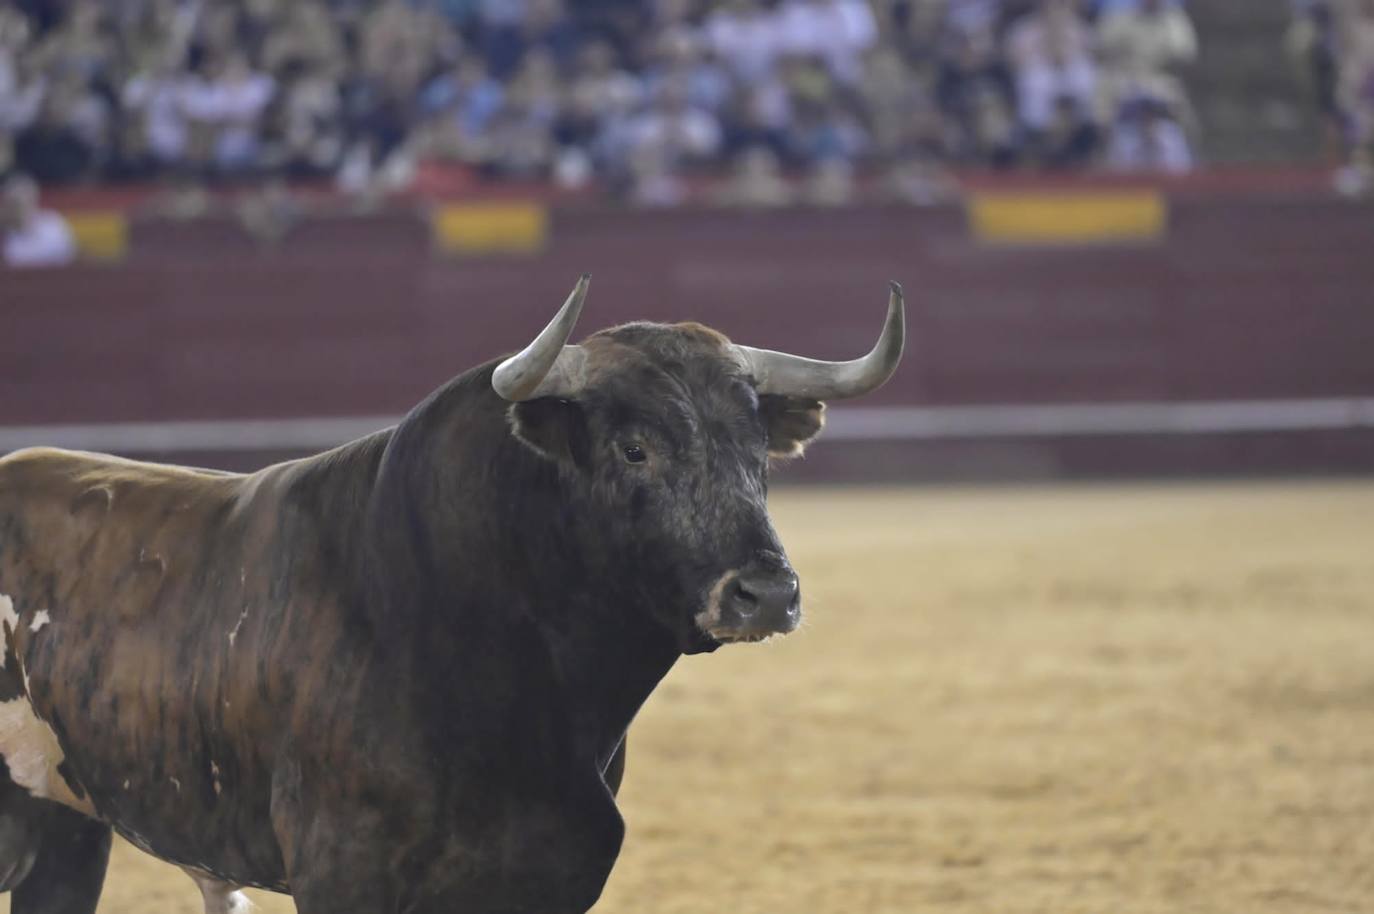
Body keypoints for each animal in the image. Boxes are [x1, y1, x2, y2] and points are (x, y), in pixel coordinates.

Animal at [0, 277, 901, 912]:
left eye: (757, 450)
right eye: (633, 448)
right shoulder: (345, 875)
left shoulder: (553, 875)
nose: (766, 593)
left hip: (68, 828)